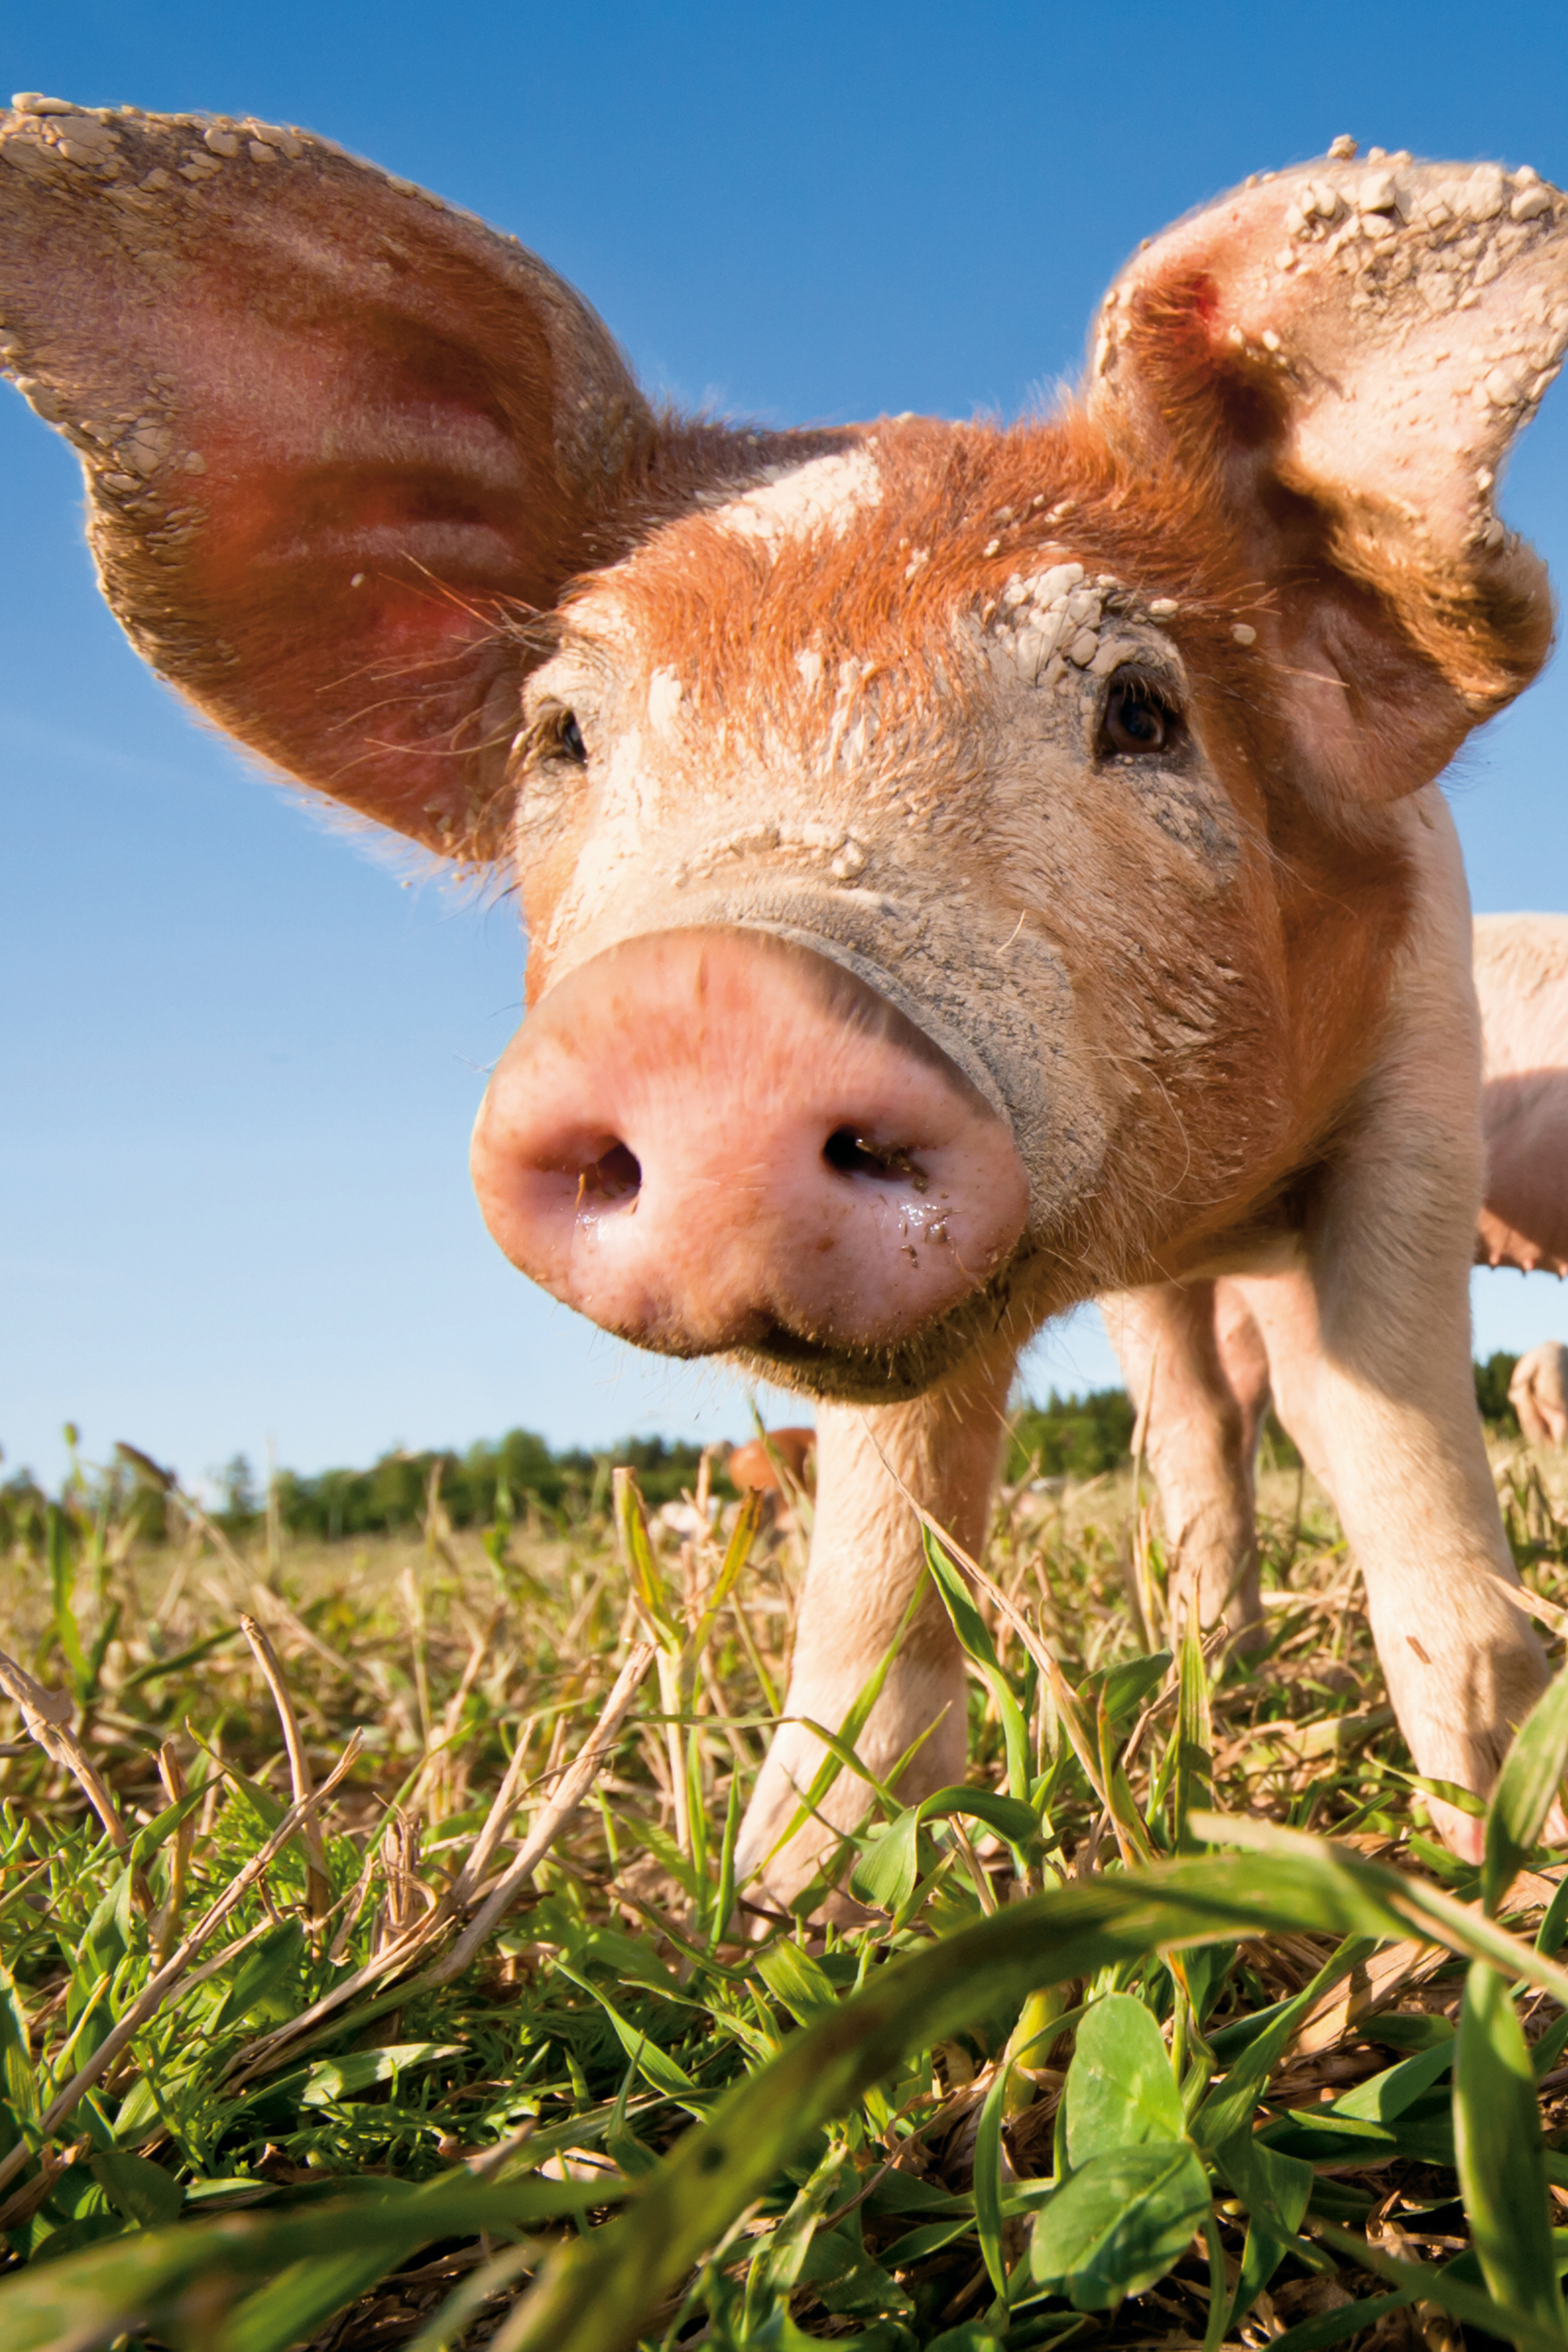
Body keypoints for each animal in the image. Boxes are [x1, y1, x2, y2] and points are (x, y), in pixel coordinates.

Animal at [4, 102, 1567, 1888]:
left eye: (1141, 706)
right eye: (562, 732)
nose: (706, 1000)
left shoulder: (1422, 1065)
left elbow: (1392, 1418)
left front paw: (1502, 1846)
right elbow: (892, 1516)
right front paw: (791, 1892)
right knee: (1194, 1426)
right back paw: (1208, 1655)